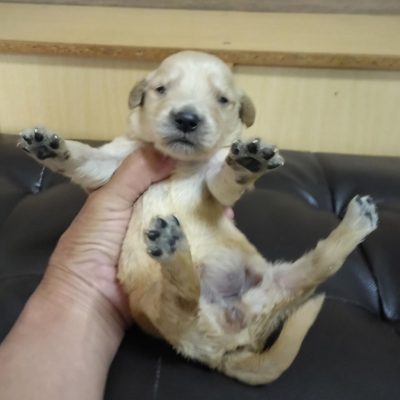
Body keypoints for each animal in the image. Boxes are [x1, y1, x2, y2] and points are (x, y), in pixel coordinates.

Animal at [18, 51, 378, 385]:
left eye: (222, 100)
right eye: (161, 89)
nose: (187, 119)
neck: (181, 161)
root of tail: (235, 338)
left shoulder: (218, 183)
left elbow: (227, 179)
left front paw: (248, 161)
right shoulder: (114, 165)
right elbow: (85, 157)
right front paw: (50, 147)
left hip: (258, 285)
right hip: (159, 298)